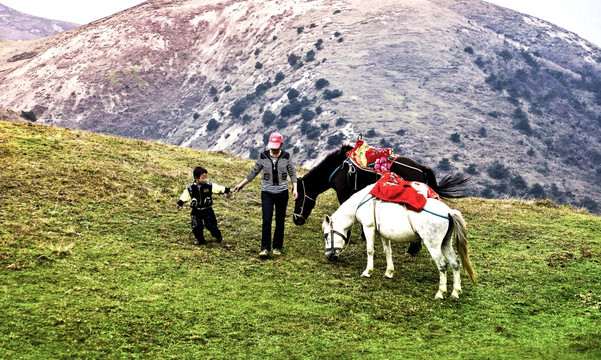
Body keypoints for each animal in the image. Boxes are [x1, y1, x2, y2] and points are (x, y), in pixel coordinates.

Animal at [290, 145, 468, 255]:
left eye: (298, 199)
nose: (296, 220)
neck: (337, 168)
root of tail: (422, 168)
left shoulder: (343, 193)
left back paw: (413, 249)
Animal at [322, 183, 476, 298]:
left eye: (326, 235)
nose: (328, 255)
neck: (363, 202)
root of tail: (449, 212)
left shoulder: (368, 227)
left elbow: (370, 250)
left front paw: (367, 271)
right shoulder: (383, 233)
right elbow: (387, 251)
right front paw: (389, 272)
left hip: (433, 245)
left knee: (443, 265)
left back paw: (441, 292)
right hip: (445, 243)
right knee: (455, 262)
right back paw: (455, 292)